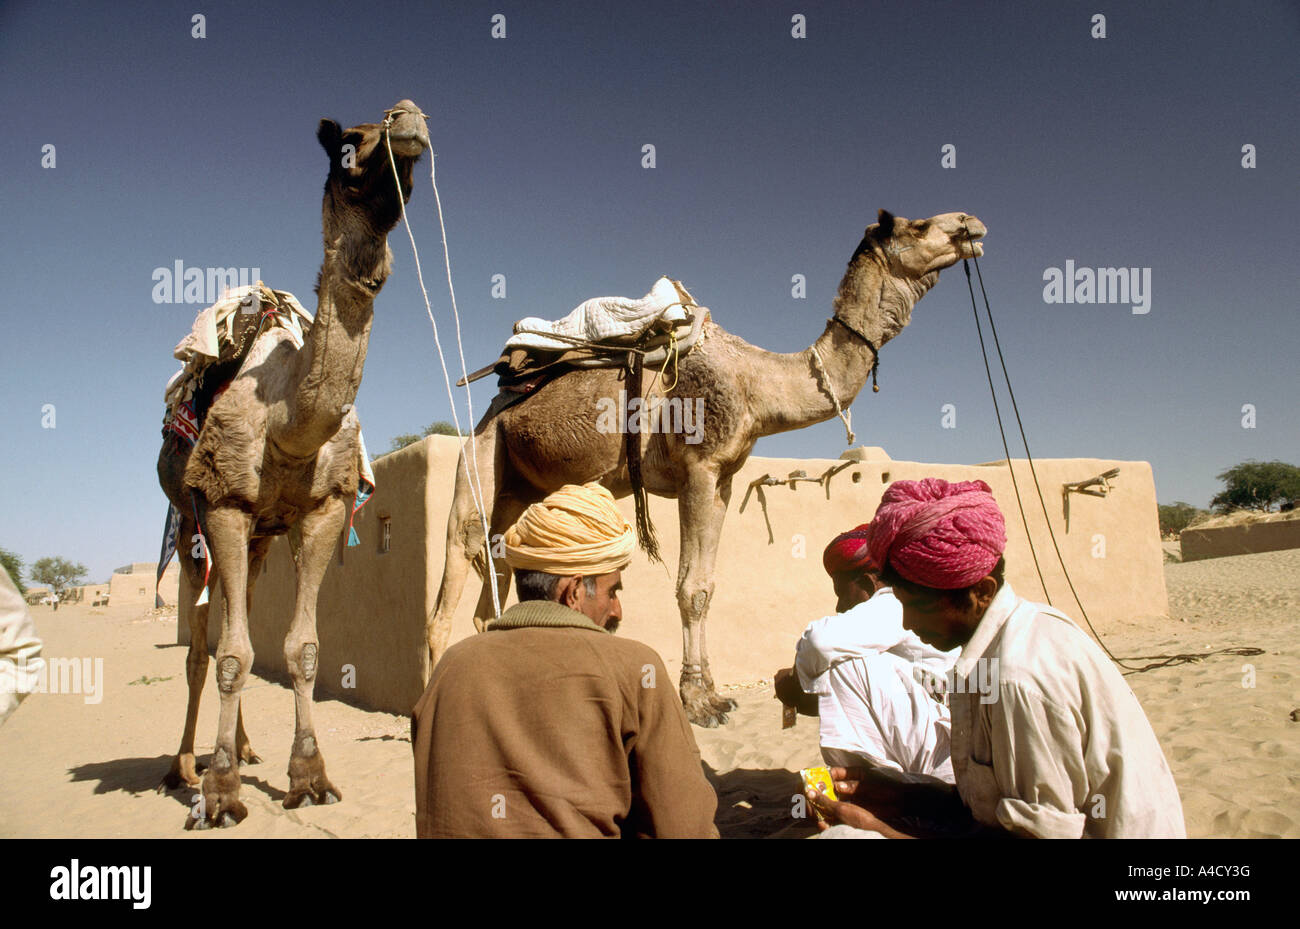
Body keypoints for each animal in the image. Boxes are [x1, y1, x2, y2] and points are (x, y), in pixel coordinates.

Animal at [156, 100, 429, 827]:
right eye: (350, 141)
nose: (409, 119)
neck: (287, 421)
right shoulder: (223, 501)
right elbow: (228, 654)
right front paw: (221, 795)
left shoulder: (323, 508)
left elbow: (301, 648)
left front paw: (309, 777)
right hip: (190, 524)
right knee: (202, 648)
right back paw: (185, 766)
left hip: (259, 540)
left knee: (242, 612)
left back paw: (245, 748)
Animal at [428, 209, 986, 726]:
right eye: (918, 226)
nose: (971, 224)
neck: (757, 383)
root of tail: (497, 397)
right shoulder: (696, 468)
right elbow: (690, 588)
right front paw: (697, 701)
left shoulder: (723, 479)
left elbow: (708, 585)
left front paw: (714, 692)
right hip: (481, 455)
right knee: (457, 558)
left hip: (520, 485)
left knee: (495, 575)